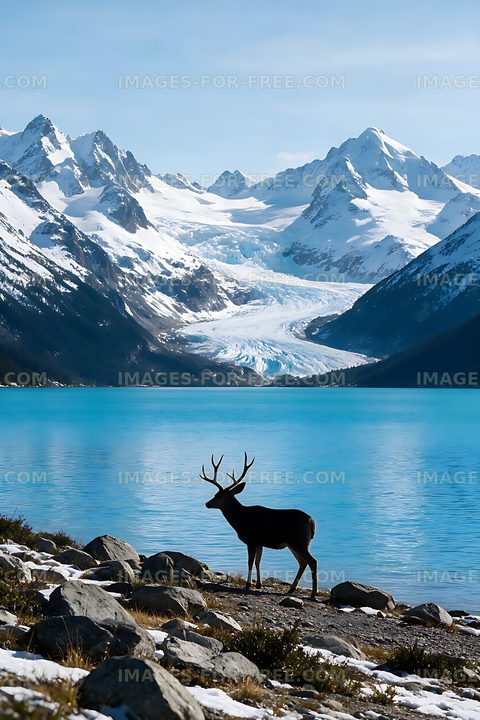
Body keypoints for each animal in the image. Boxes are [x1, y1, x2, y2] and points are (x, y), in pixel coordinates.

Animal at [200, 452, 318, 600]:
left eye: (219, 496)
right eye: (215, 494)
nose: (207, 504)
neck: (240, 519)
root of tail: (311, 521)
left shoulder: (251, 540)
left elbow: (250, 561)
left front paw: (248, 584)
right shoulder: (260, 542)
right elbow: (258, 561)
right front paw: (258, 584)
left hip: (298, 540)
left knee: (312, 561)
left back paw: (313, 593)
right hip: (294, 543)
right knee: (302, 562)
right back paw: (291, 589)